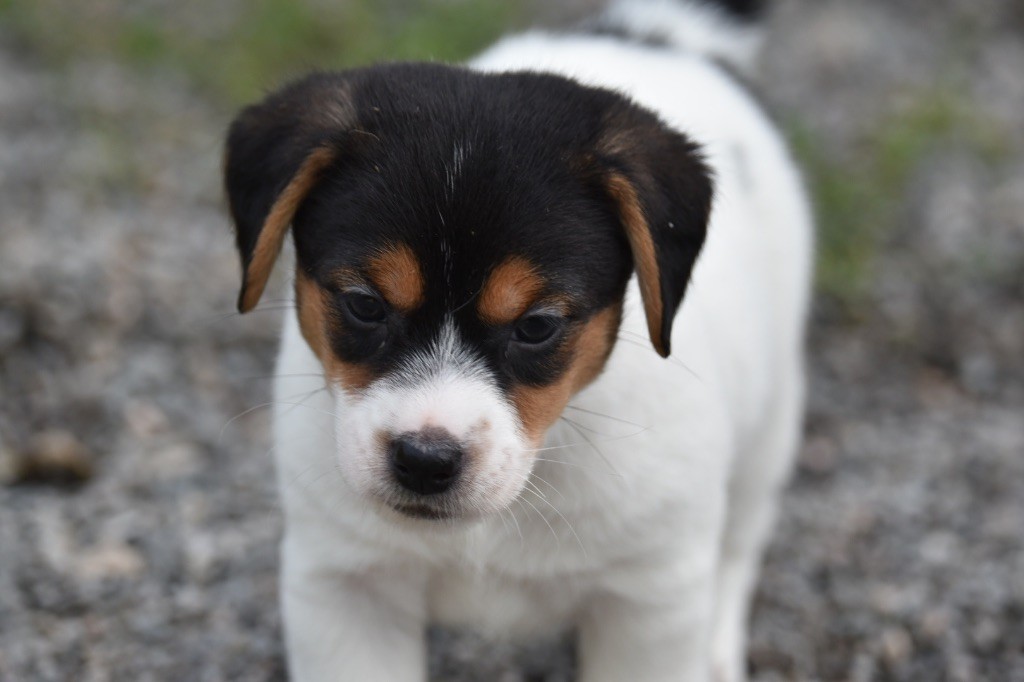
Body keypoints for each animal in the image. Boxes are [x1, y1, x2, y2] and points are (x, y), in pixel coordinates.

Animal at [226, 0, 815, 675]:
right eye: (364, 304)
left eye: (537, 325)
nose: (424, 462)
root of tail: (664, 38)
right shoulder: (346, 587)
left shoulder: (650, 604)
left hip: (770, 428)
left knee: (741, 543)